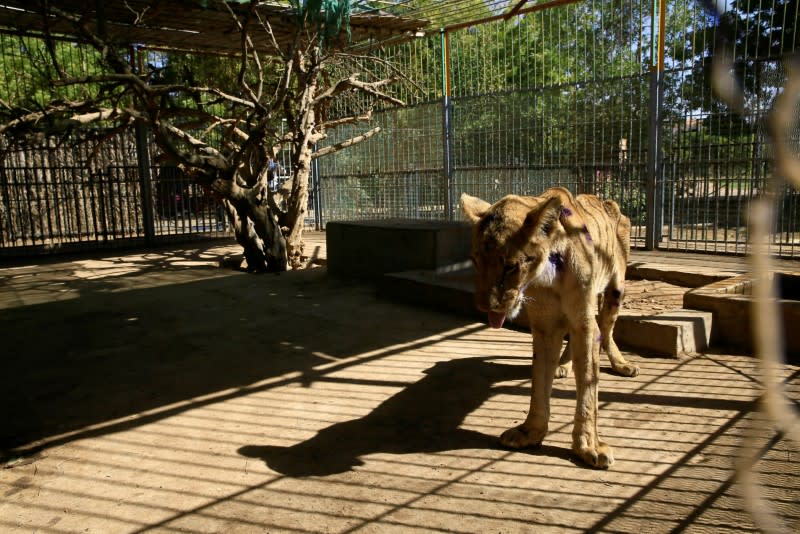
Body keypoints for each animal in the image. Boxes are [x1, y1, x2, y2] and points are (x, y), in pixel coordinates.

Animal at [462, 187, 636, 468]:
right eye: (476, 261)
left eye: (510, 266)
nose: (485, 306)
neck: (546, 278)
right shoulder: (544, 327)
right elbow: (539, 380)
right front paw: (530, 432)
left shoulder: (584, 323)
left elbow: (588, 386)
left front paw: (589, 447)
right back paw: (564, 366)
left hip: (616, 288)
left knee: (607, 329)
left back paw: (621, 364)